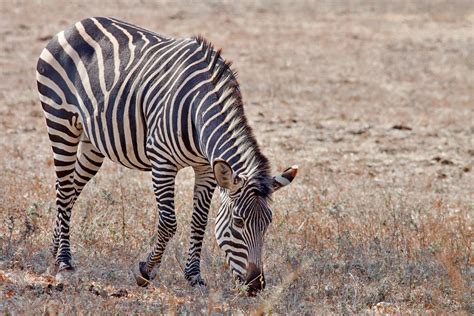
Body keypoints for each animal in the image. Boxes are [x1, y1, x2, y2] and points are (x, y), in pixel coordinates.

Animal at [37, 16, 296, 294]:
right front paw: (145, 272)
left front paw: (193, 275)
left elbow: (199, 221)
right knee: (64, 190)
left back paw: (54, 250)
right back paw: (64, 260)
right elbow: (169, 222)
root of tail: (79, 23)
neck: (198, 112)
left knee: (69, 189)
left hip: (92, 142)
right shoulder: (162, 162)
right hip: (60, 122)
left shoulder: (206, 168)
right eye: (238, 222)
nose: (257, 285)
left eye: (268, 223)